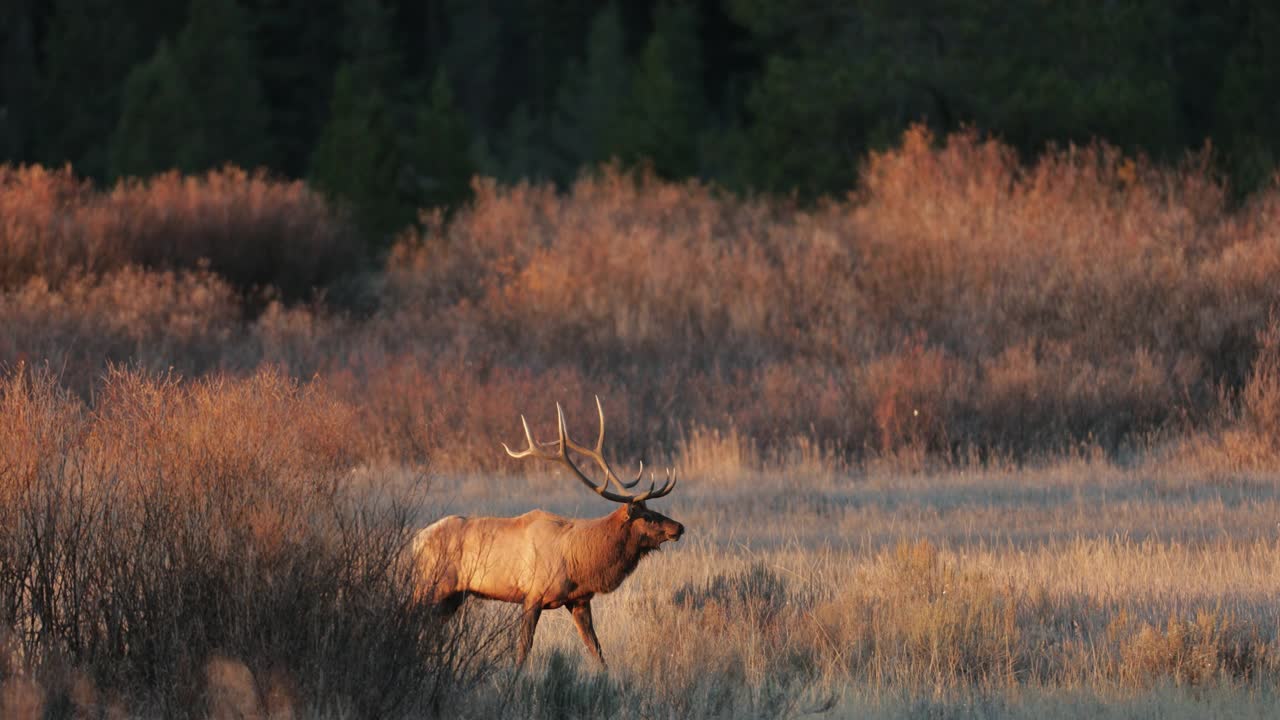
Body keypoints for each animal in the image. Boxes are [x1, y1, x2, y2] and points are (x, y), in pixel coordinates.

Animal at [414, 394, 686, 666]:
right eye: (647, 517)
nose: (679, 527)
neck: (580, 561)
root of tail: (416, 541)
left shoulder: (579, 600)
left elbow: (597, 650)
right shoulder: (532, 595)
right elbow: (523, 650)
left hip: (453, 597)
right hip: (430, 586)